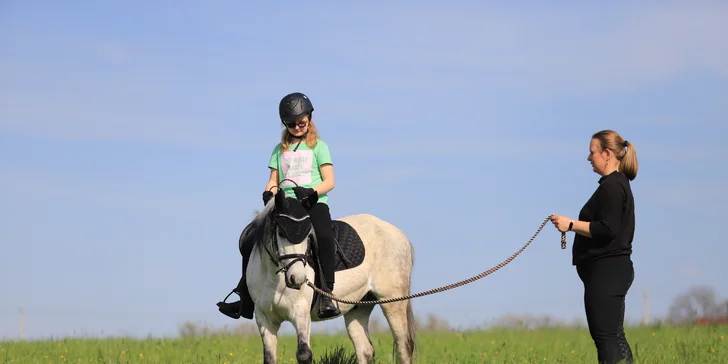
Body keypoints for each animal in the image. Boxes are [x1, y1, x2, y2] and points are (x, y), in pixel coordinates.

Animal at [239, 188, 418, 364]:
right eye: (281, 232)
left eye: (308, 235)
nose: (297, 278)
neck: (274, 279)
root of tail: (398, 233)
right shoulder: (265, 319)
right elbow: (269, 358)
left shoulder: (301, 313)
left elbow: (304, 354)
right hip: (359, 306)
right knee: (365, 351)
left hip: (393, 301)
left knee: (403, 346)